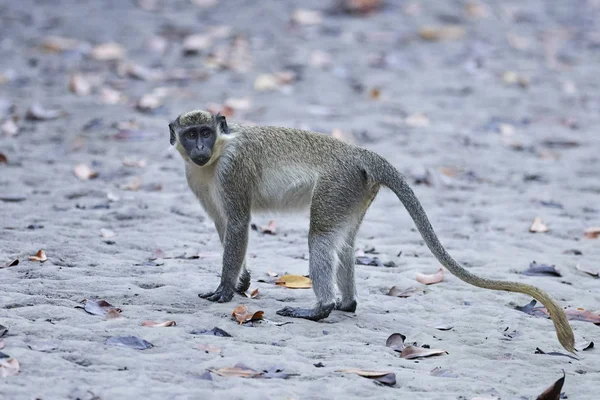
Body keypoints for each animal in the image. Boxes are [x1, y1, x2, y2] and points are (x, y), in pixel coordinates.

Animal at [169, 111, 576, 352]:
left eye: (205, 132)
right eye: (190, 134)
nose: (200, 146)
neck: (218, 153)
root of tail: (357, 153)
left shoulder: (232, 170)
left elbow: (237, 224)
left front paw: (225, 289)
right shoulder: (196, 176)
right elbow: (224, 226)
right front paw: (241, 281)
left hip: (338, 183)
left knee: (320, 237)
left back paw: (321, 308)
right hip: (355, 191)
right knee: (345, 244)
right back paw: (346, 303)